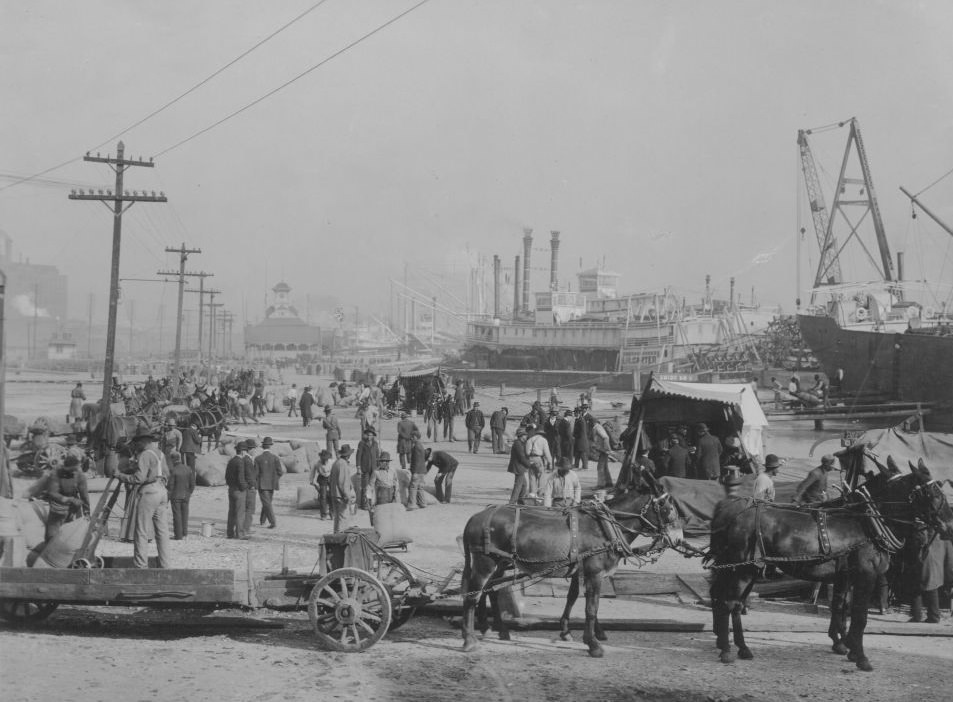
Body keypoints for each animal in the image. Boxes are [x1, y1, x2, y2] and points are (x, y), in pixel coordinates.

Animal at [462, 490, 684, 660]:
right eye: (669, 511)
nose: (679, 539)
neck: (605, 527)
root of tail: (476, 517)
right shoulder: (594, 573)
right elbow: (591, 608)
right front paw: (593, 643)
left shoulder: (579, 571)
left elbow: (573, 598)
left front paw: (567, 631)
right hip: (485, 562)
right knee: (473, 596)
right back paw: (470, 639)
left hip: (499, 563)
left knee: (488, 592)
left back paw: (492, 629)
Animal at [708, 460, 952, 672]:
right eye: (932, 493)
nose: (949, 526)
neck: (867, 521)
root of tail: (734, 511)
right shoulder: (866, 575)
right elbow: (859, 615)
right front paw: (860, 656)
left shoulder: (845, 576)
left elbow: (841, 607)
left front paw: (845, 646)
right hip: (742, 570)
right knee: (729, 602)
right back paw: (727, 650)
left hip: (746, 569)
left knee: (732, 602)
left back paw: (741, 647)